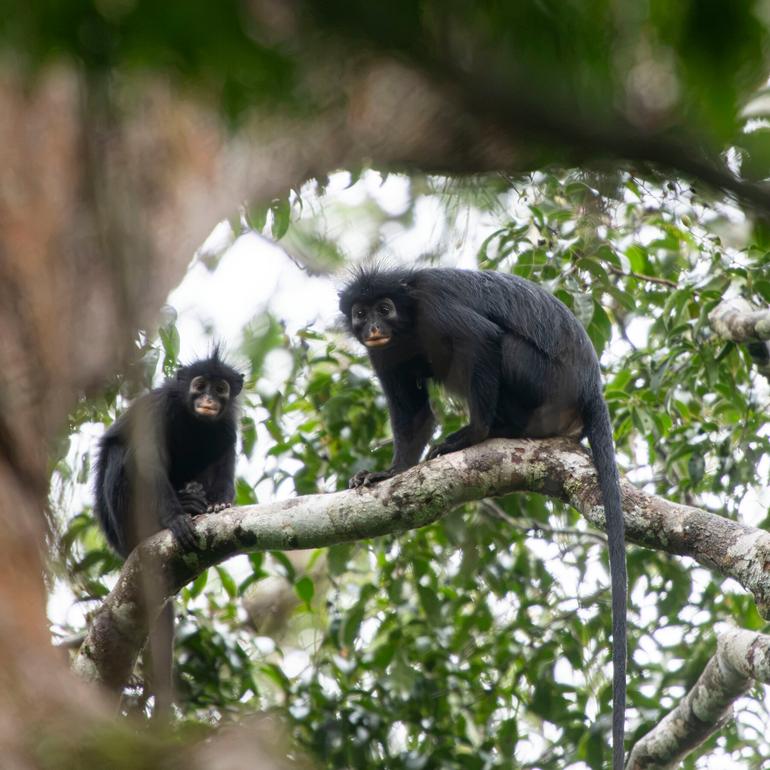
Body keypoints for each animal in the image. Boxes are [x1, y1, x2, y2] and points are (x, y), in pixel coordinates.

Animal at [93, 350, 243, 714]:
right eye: (199, 385)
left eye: (220, 389)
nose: (208, 400)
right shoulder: (157, 410)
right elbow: (148, 462)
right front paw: (175, 519)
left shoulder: (227, 423)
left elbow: (225, 453)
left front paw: (219, 505)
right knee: (123, 452)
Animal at [340, 266, 626, 770]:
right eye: (361, 312)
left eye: (385, 308)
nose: (373, 325)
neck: (407, 322)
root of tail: (590, 386)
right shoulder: (385, 353)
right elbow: (413, 416)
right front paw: (389, 472)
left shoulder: (434, 307)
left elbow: (482, 340)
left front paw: (472, 434)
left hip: (543, 383)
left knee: (500, 345)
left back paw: (494, 430)